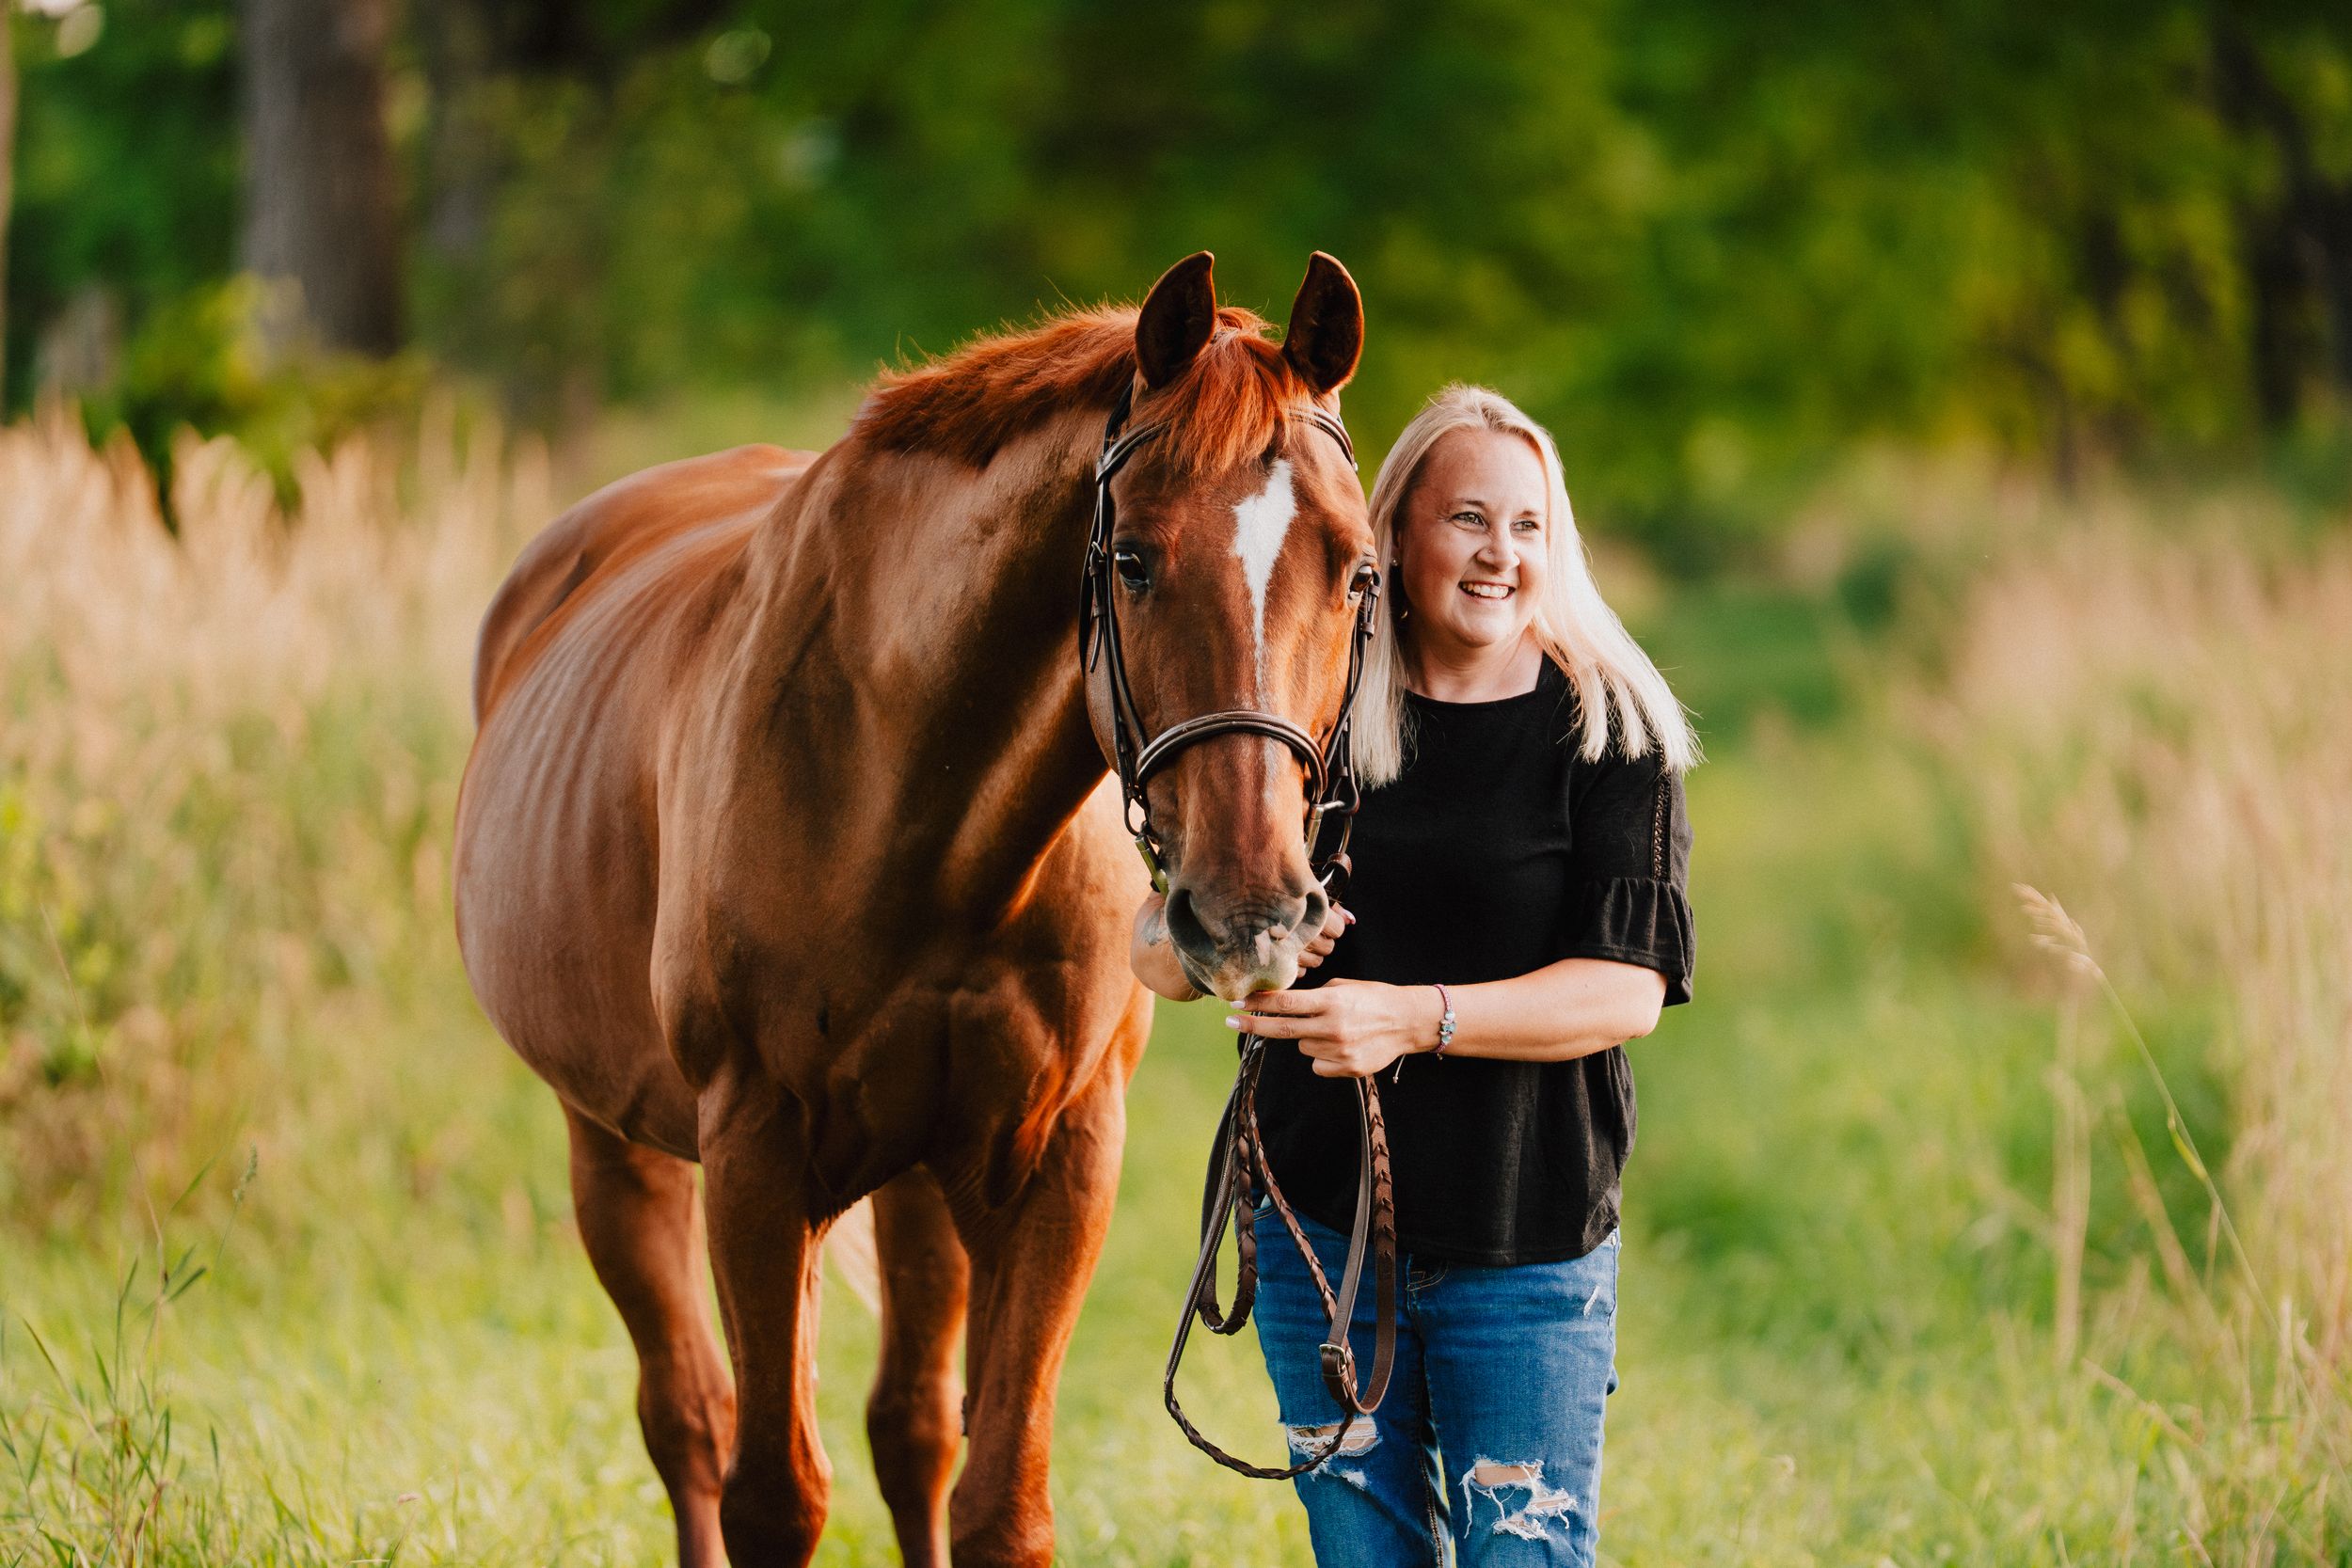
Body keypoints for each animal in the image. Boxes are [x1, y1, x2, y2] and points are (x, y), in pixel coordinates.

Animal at [452, 251, 1378, 1566]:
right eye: (1133, 560)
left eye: (1356, 569)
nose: (1249, 909)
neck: (911, 793)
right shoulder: (755, 1158)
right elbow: (772, 1492)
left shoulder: (1057, 1159)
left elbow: (997, 1497)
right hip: (615, 1145)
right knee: (685, 1415)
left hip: (921, 1179)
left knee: (910, 1427)